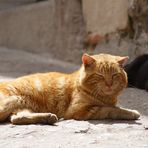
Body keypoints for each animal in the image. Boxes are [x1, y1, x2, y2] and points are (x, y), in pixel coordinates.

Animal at [0, 53, 140, 124]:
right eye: (100, 75)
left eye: (115, 75)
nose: (109, 84)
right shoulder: (80, 110)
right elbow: (112, 110)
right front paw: (131, 112)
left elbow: (115, 107)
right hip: (11, 101)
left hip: (22, 106)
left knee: (17, 119)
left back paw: (48, 117)